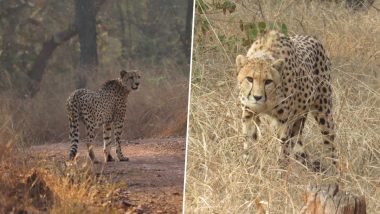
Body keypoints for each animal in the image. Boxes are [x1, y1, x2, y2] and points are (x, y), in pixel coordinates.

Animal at [236, 30, 336, 171]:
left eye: (268, 81)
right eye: (249, 79)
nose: (257, 97)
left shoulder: (283, 120)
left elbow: (283, 147)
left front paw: (280, 170)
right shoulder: (249, 114)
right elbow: (248, 141)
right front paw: (248, 166)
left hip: (323, 111)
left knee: (330, 142)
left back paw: (335, 170)